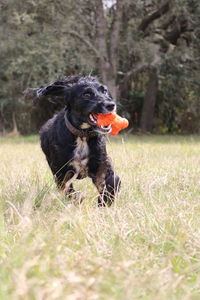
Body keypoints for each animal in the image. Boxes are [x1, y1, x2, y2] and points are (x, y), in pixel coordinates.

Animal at [25, 75, 120, 206]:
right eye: (87, 94)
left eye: (104, 91)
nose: (111, 105)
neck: (82, 136)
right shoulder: (60, 171)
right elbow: (69, 191)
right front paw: (78, 199)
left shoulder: (101, 162)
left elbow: (113, 181)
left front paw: (103, 202)